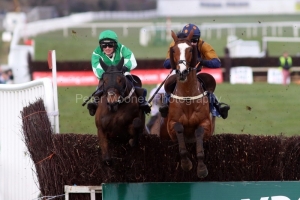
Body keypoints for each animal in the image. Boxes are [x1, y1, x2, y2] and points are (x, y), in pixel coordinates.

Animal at [159, 30, 213, 178]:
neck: (188, 96)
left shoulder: (206, 123)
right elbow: (179, 128)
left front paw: (201, 168)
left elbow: (199, 132)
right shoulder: (171, 125)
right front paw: (186, 163)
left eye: (190, 49)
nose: (182, 72)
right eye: (173, 50)